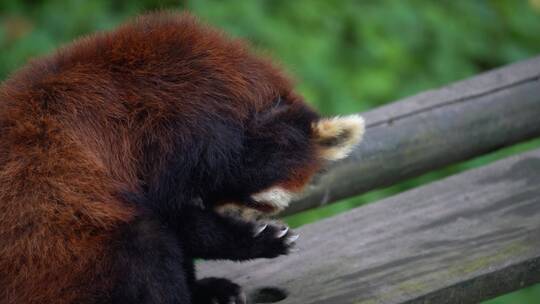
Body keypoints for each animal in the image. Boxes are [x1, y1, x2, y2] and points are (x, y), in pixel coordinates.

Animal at [0, 11, 364, 304]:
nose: (237, 216)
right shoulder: (164, 136)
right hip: (60, 255)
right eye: (257, 201)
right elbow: (176, 219)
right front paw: (260, 240)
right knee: (147, 246)